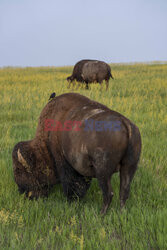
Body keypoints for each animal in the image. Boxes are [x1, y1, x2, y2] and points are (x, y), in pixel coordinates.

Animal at [12, 93, 142, 214]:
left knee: (108, 194)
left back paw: (101, 214)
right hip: (129, 167)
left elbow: (71, 184)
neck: (45, 144)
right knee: (123, 192)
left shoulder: (64, 163)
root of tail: (126, 124)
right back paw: (121, 212)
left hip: (103, 172)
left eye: (22, 171)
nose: (23, 193)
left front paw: (71, 201)